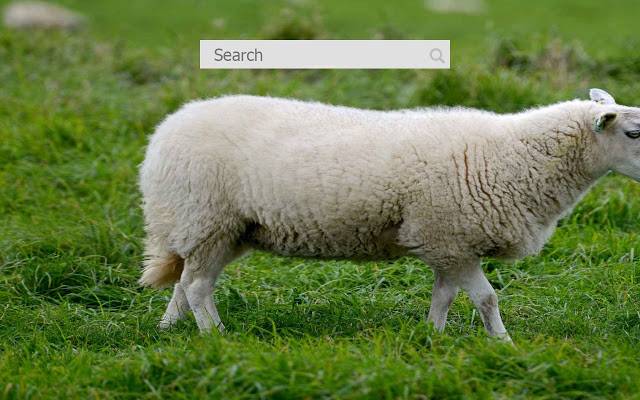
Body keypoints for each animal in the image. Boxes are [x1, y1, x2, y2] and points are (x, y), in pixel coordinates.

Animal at [139, 88, 640, 339]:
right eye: (633, 133)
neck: (517, 156)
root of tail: (164, 131)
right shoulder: (452, 240)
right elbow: (487, 299)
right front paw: (504, 344)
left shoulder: (445, 244)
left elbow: (445, 297)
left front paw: (433, 339)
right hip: (206, 218)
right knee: (197, 286)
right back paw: (217, 336)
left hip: (227, 229)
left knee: (187, 282)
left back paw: (168, 332)